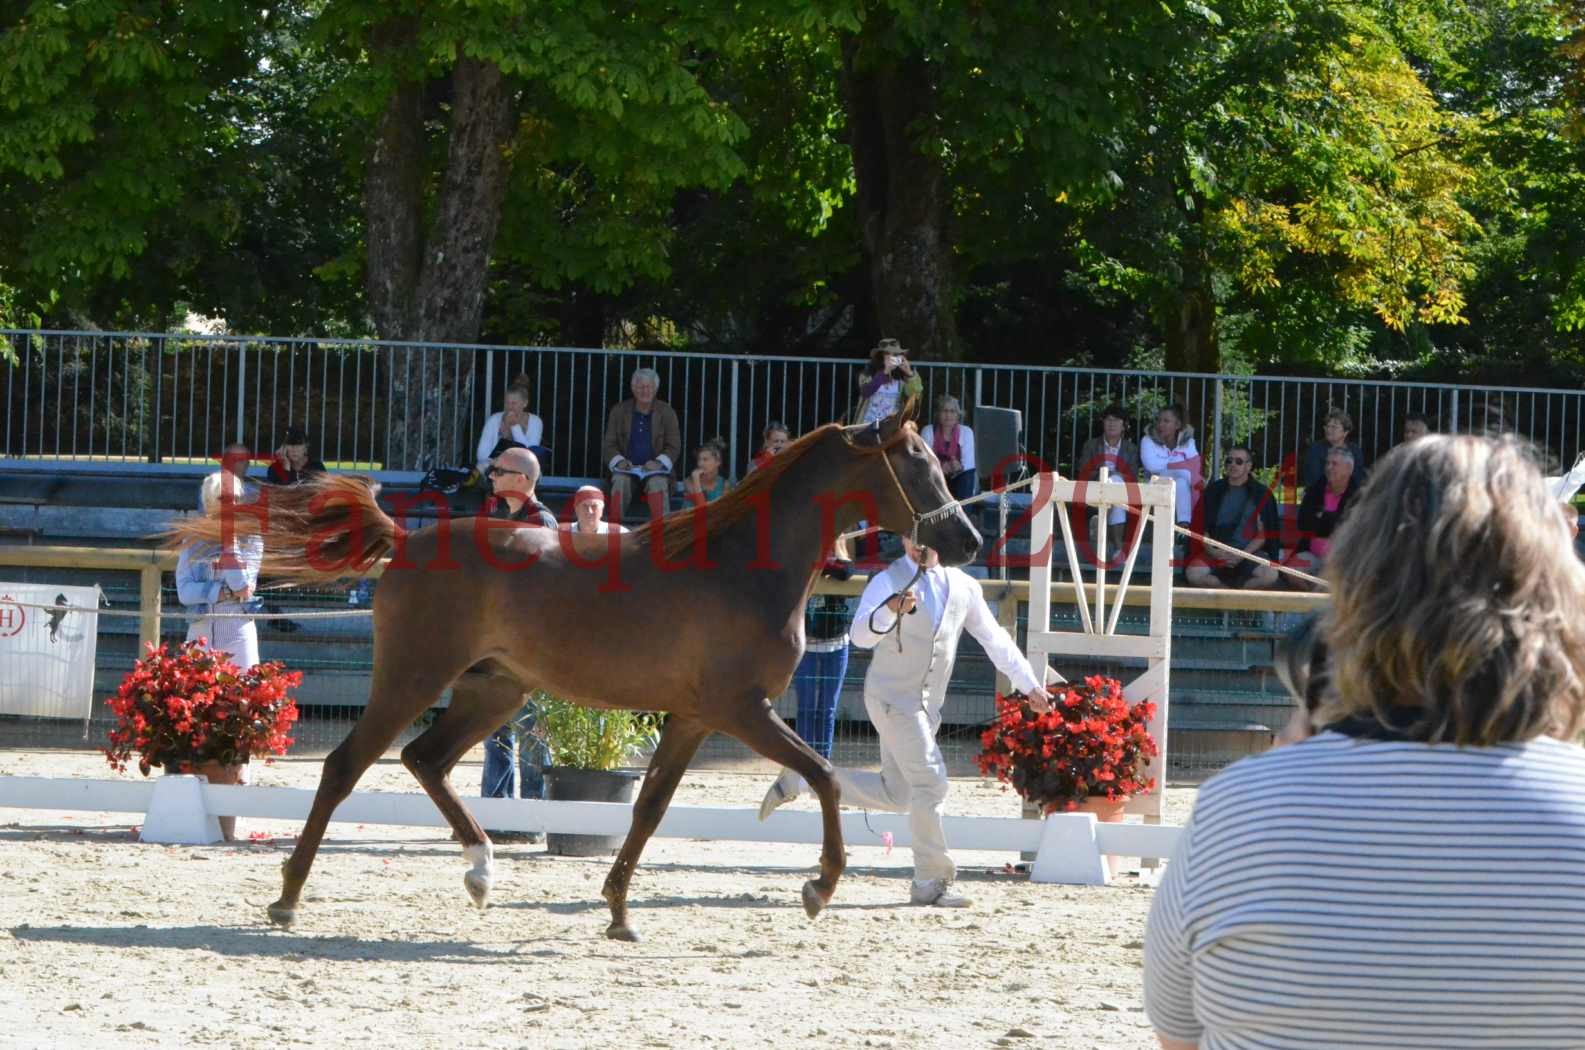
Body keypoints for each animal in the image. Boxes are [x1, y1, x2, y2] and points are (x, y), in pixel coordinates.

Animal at [167, 409, 970, 938]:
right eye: (914, 463)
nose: (963, 539)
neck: (740, 566)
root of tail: (406, 540)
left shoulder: (694, 718)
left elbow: (648, 810)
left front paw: (617, 913)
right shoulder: (743, 710)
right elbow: (824, 776)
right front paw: (818, 887)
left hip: (494, 689)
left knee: (425, 760)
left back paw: (481, 871)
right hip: (413, 678)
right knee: (346, 767)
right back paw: (288, 899)